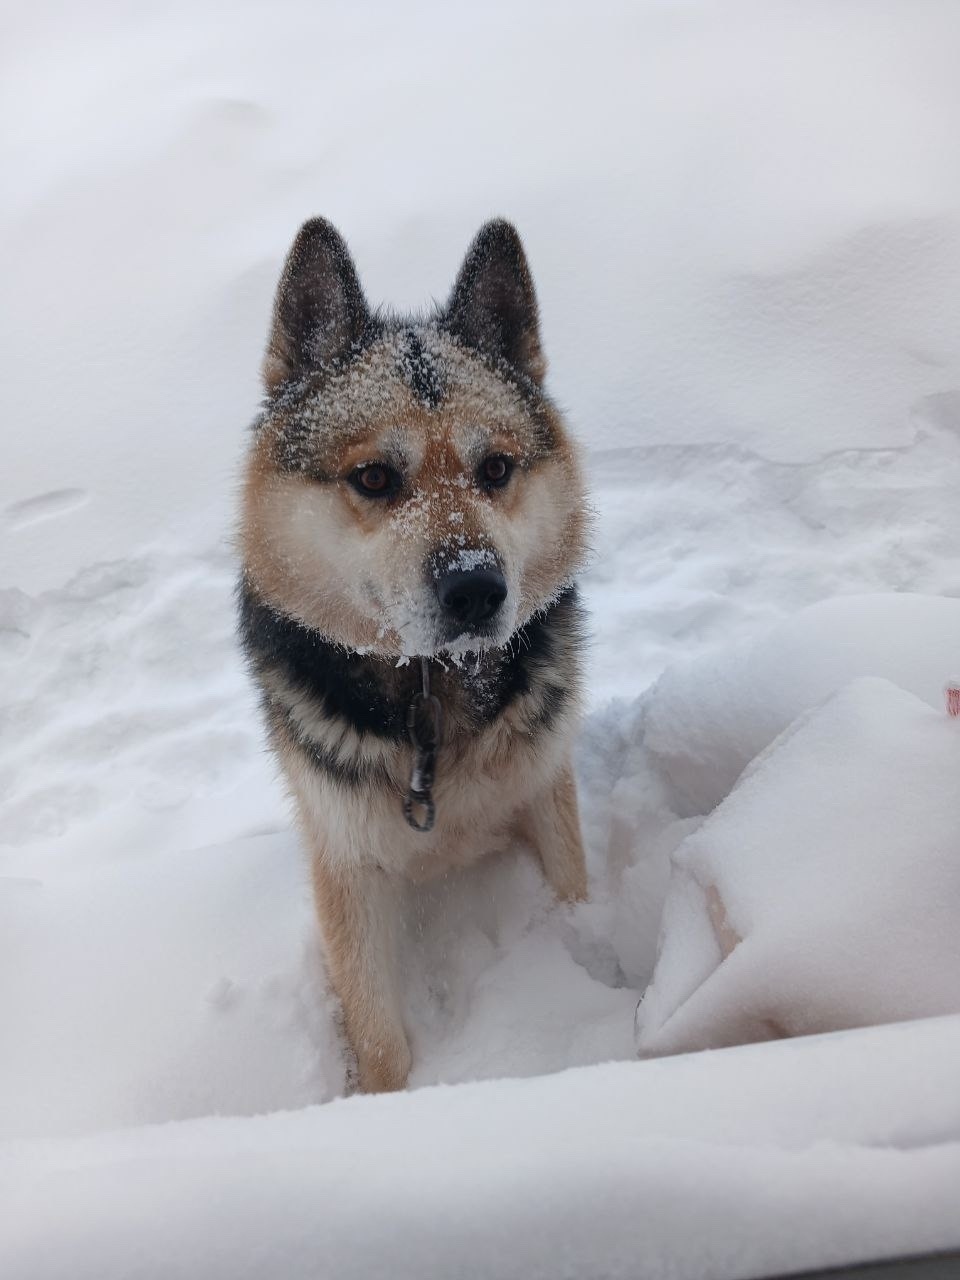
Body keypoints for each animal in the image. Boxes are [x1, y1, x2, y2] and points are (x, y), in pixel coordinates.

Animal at [238, 217, 589, 1092]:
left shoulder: (547, 789)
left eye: (494, 468)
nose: (477, 590)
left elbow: (575, 896)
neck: (432, 691)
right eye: (374, 478)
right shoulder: (345, 861)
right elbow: (380, 1041)